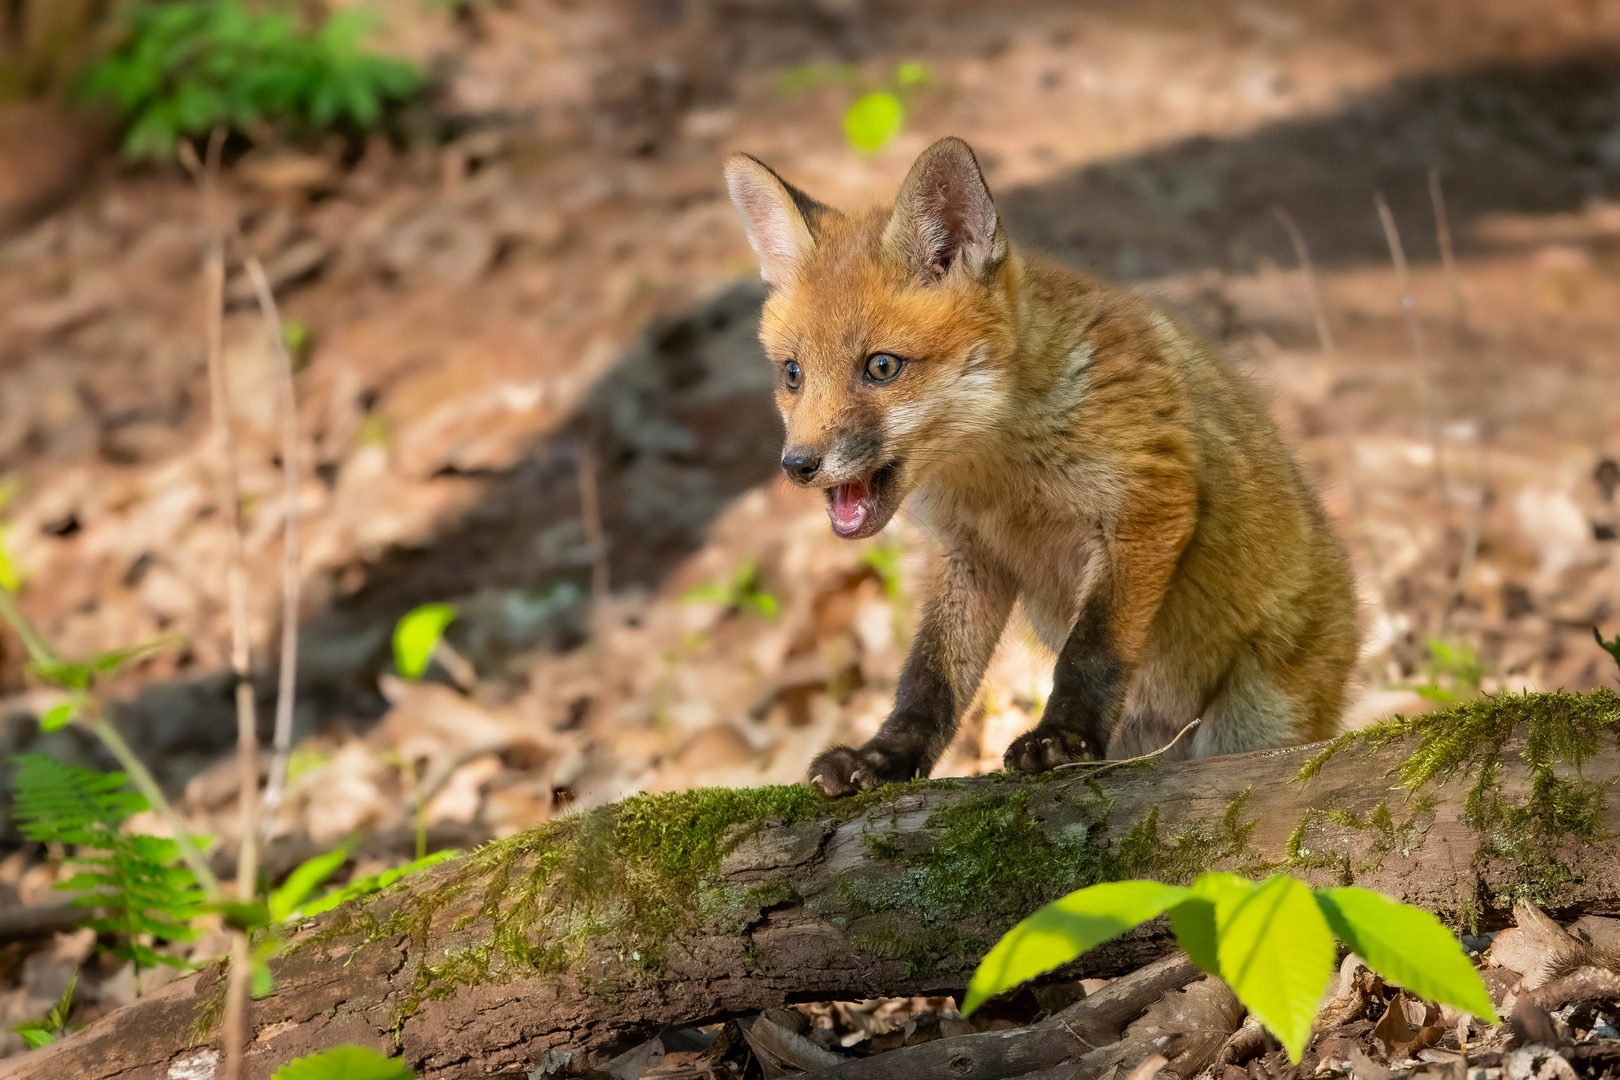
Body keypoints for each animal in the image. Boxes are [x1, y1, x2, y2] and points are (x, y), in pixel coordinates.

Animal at [722, 135, 1354, 799]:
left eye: (881, 367)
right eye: (793, 373)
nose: (797, 465)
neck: (1001, 475)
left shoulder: (1150, 504)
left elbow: (1091, 650)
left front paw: (1062, 742)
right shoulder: (972, 557)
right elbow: (928, 680)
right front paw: (883, 759)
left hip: (1258, 721)